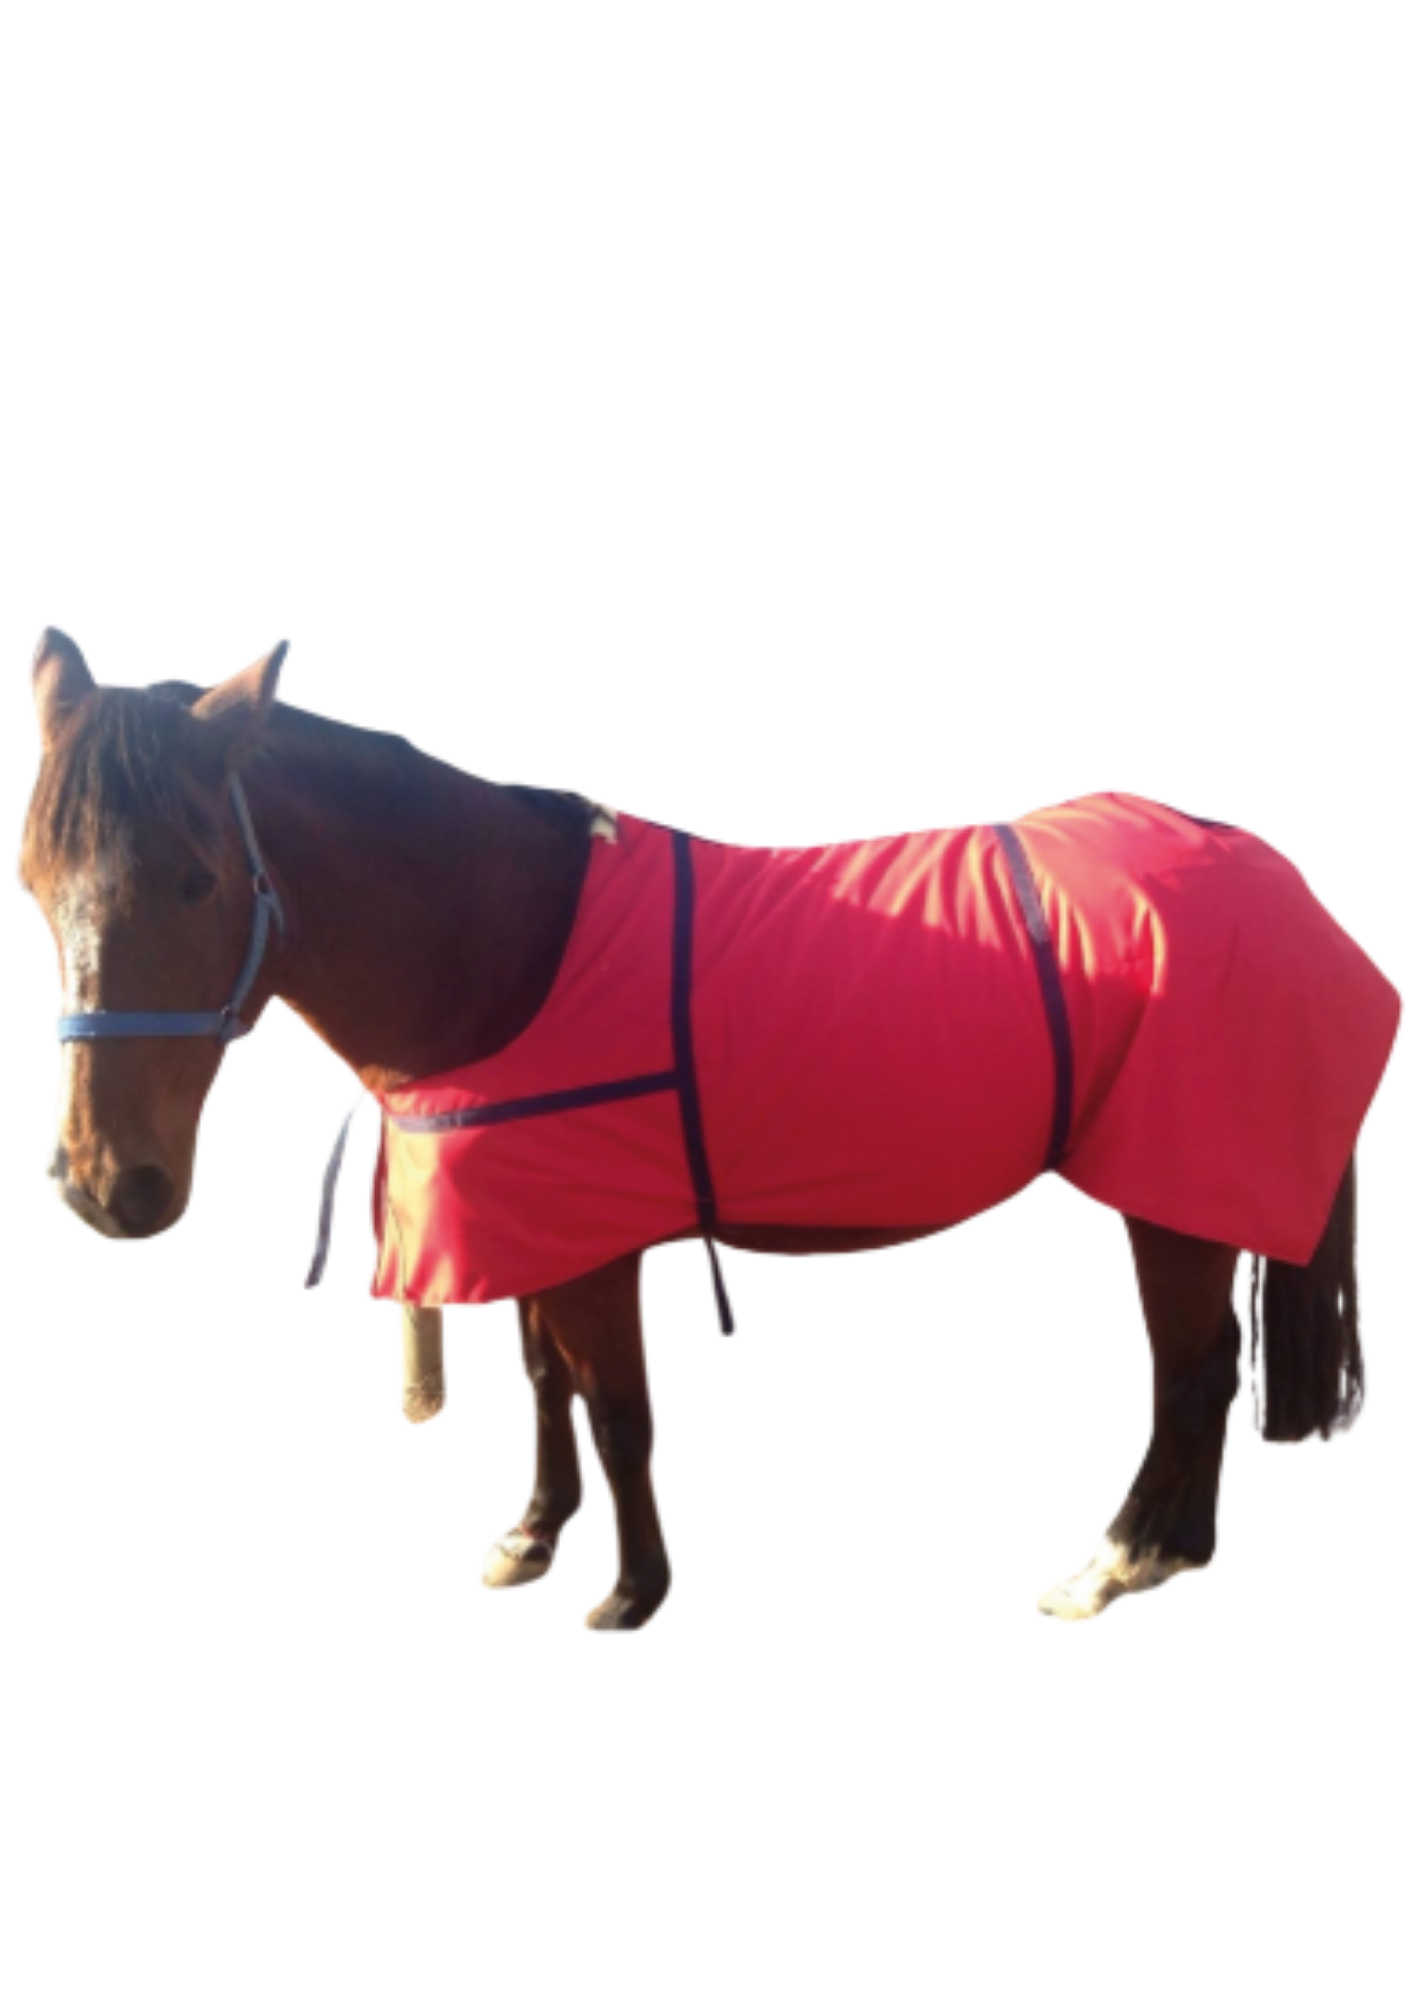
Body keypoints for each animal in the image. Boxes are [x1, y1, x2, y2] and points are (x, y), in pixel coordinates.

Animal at [17, 625, 1401, 1632]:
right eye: (33, 884)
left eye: (197, 877)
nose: (103, 1184)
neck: (504, 950)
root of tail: (1267, 867)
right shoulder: (537, 1223)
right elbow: (542, 1383)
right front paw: (530, 1537)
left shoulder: (601, 1245)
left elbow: (619, 1405)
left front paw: (629, 1594)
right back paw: (1172, 1556)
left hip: (1173, 1192)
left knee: (1194, 1371)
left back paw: (1110, 1566)